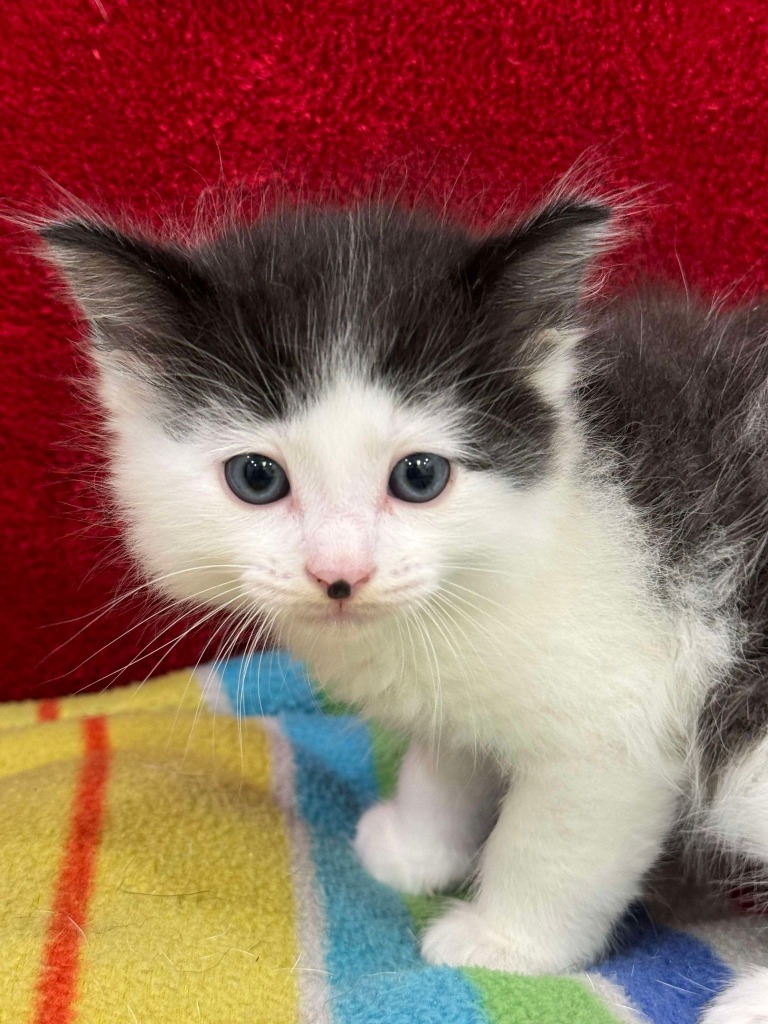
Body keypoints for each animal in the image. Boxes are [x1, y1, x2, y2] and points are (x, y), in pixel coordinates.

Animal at [39, 195, 768, 1019]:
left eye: (420, 477)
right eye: (257, 478)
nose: (339, 573)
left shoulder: (616, 723)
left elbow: (552, 846)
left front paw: (502, 940)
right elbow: (445, 758)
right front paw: (417, 846)